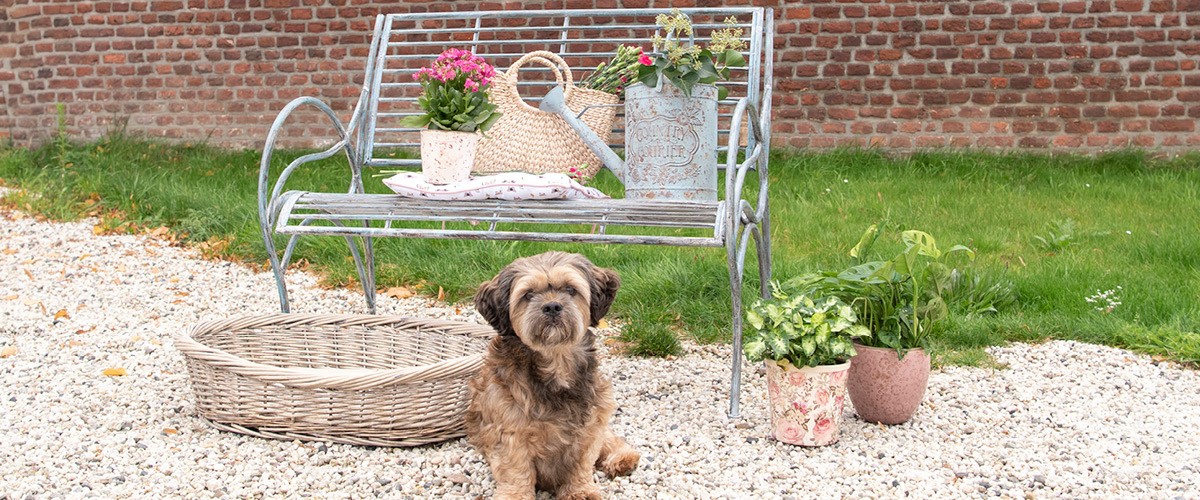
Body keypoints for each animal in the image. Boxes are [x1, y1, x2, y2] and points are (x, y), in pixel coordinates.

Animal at [465, 252, 638, 498]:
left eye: (570, 289)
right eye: (528, 294)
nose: (552, 306)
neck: (556, 364)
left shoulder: (591, 424)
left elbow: (582, 463)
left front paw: (580, 491)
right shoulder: (508, 430)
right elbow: (516, 471)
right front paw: (514, 495)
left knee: (610, 439)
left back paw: (623, 458)